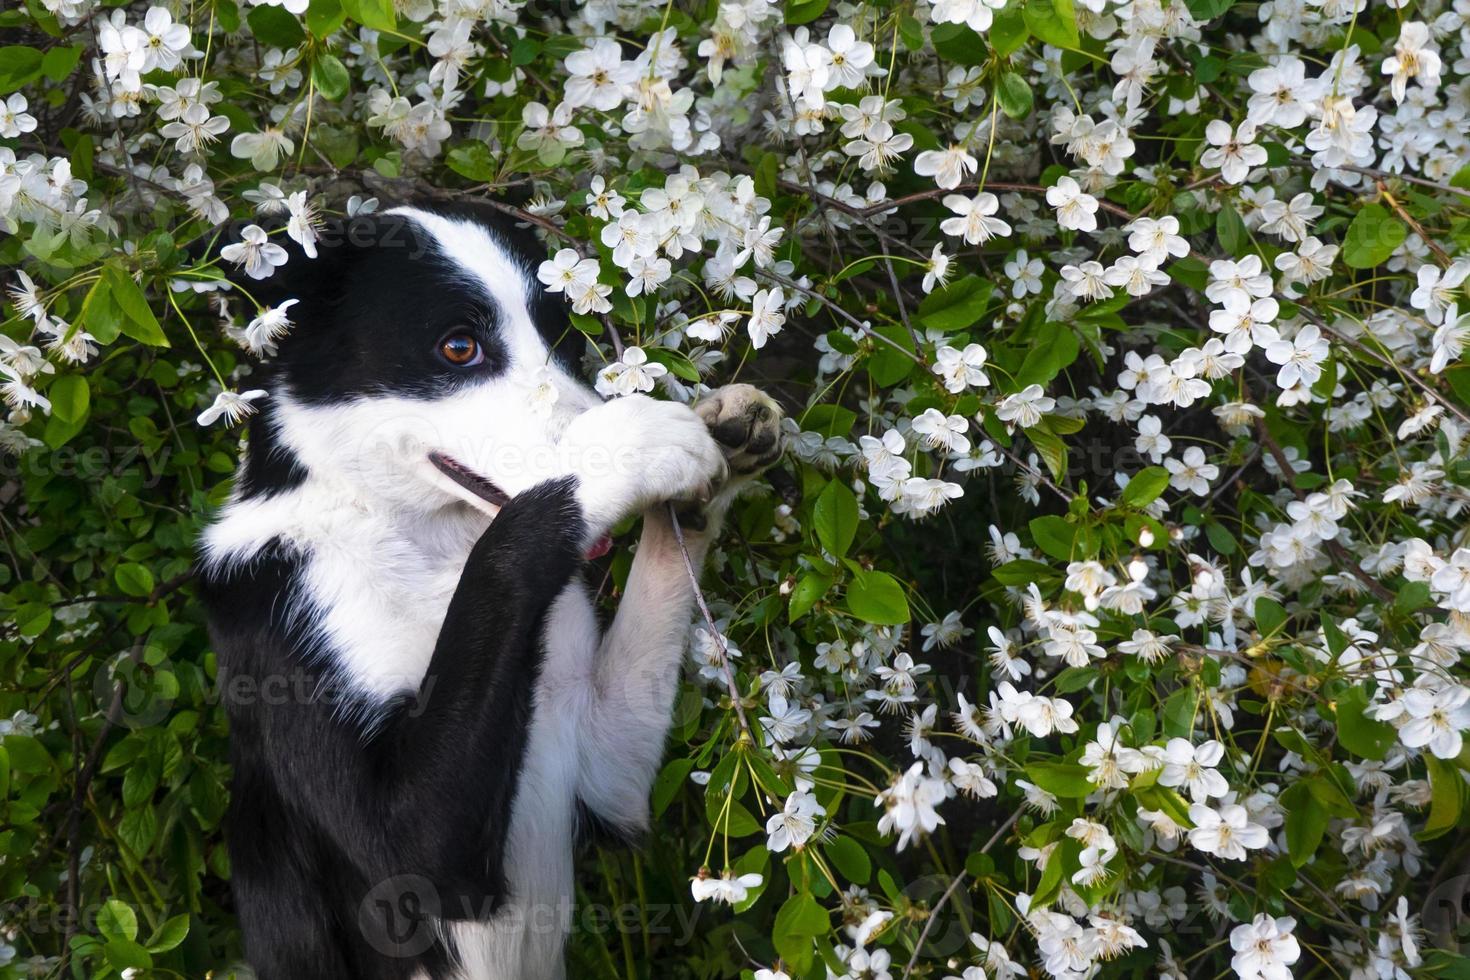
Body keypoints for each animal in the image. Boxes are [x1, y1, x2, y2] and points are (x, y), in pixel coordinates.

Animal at [201, 201, 787, 980]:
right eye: (458, 349)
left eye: (566, 336)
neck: (421, 540)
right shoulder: (400, 838)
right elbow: (510, 546)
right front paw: (624, 447)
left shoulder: (601, 763)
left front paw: (722, 442)